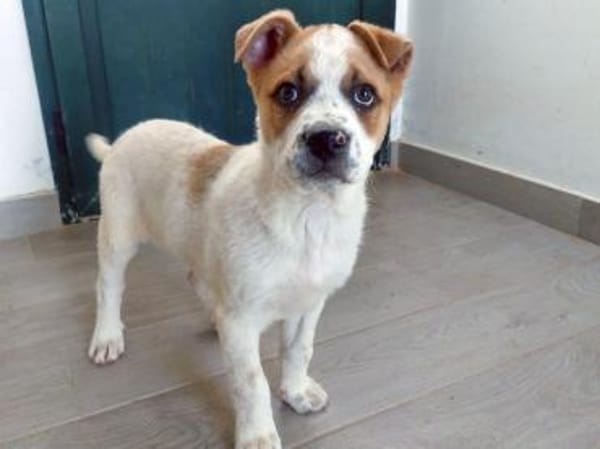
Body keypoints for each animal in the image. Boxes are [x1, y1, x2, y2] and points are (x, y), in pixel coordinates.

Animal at [86, 9, 412, 449]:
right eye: (288, 93)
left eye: (365, 95)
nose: (326, 139)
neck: (308, 219)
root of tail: (121, 140)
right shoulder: (242, 322)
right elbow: (250, 382)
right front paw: (257, 434)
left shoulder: (309, 304)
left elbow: (299, 351)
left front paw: (295, 392)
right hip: (118, 235)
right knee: (109, 287)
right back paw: (107, 336)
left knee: (196, 278)